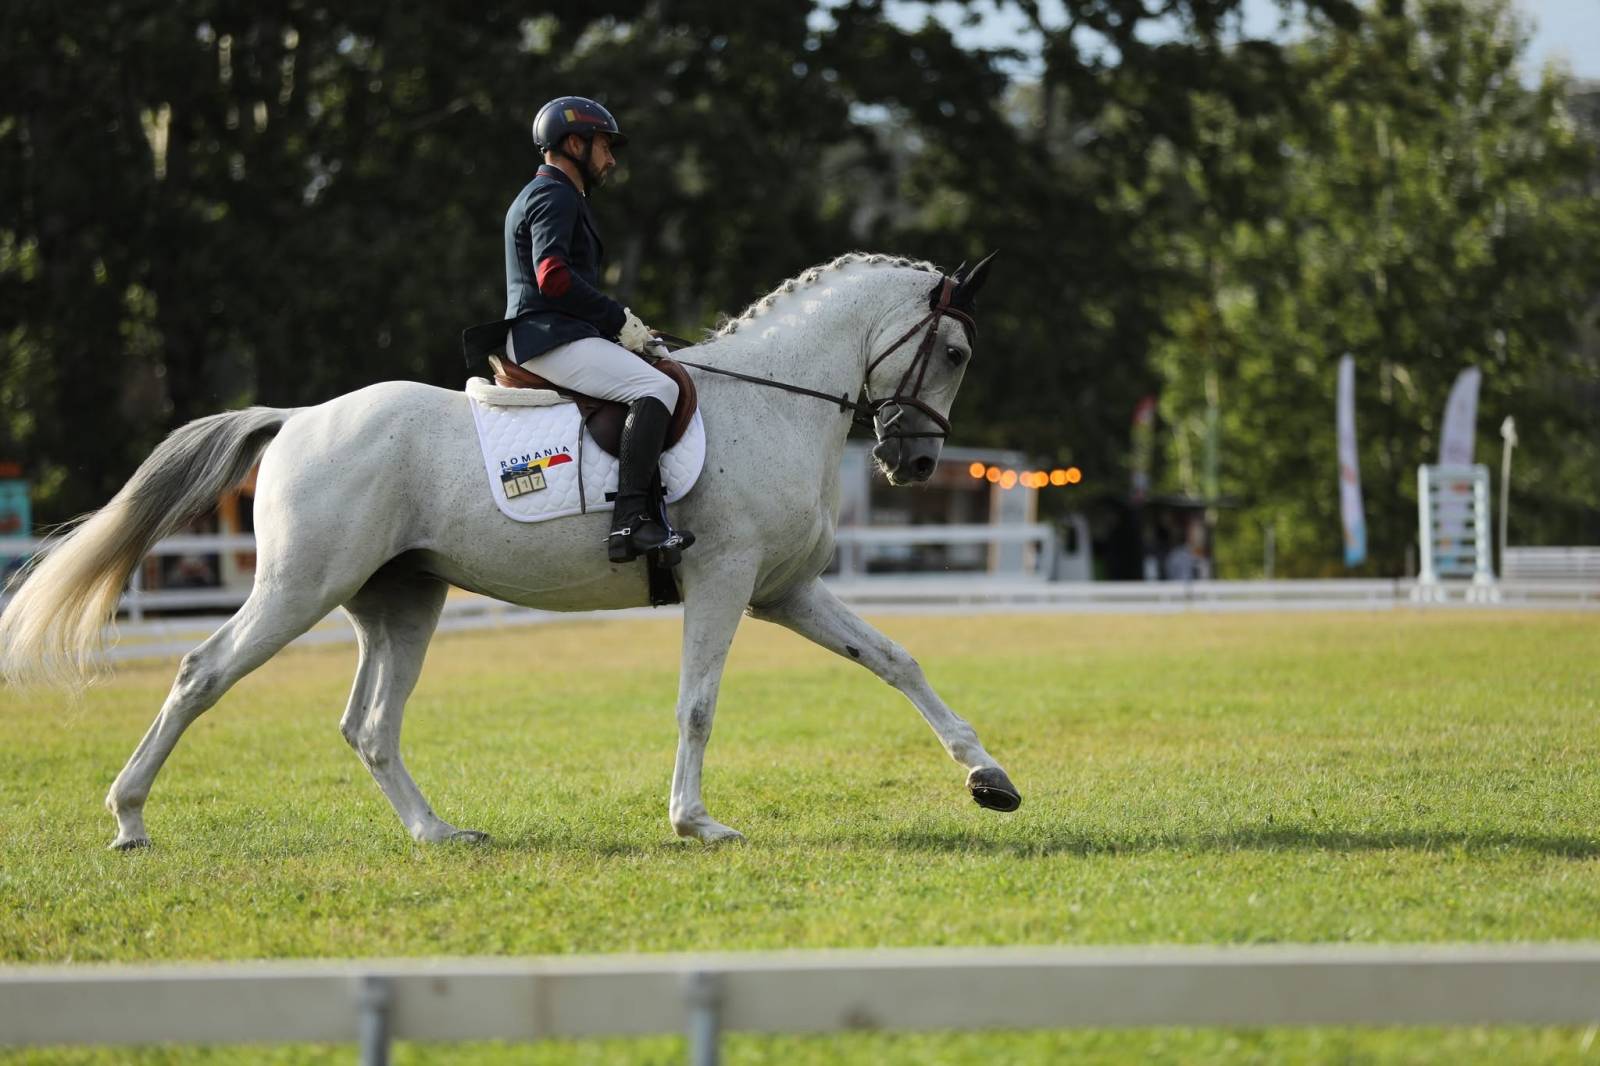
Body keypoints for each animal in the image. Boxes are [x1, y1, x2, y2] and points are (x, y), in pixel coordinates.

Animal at [0, 251, 1022, 850]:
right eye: (957, 352)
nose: (910, 460)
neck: (773, 399)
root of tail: (296, 418)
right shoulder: (723, 580)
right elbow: (697, 706)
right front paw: (695, 822)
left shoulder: (785, 590)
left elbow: (896, 659)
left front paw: (990, 779)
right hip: (298, 589)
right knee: (200, 674)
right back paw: (129, 819)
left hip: (400, 601)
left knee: (370, 725)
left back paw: (438, 833)